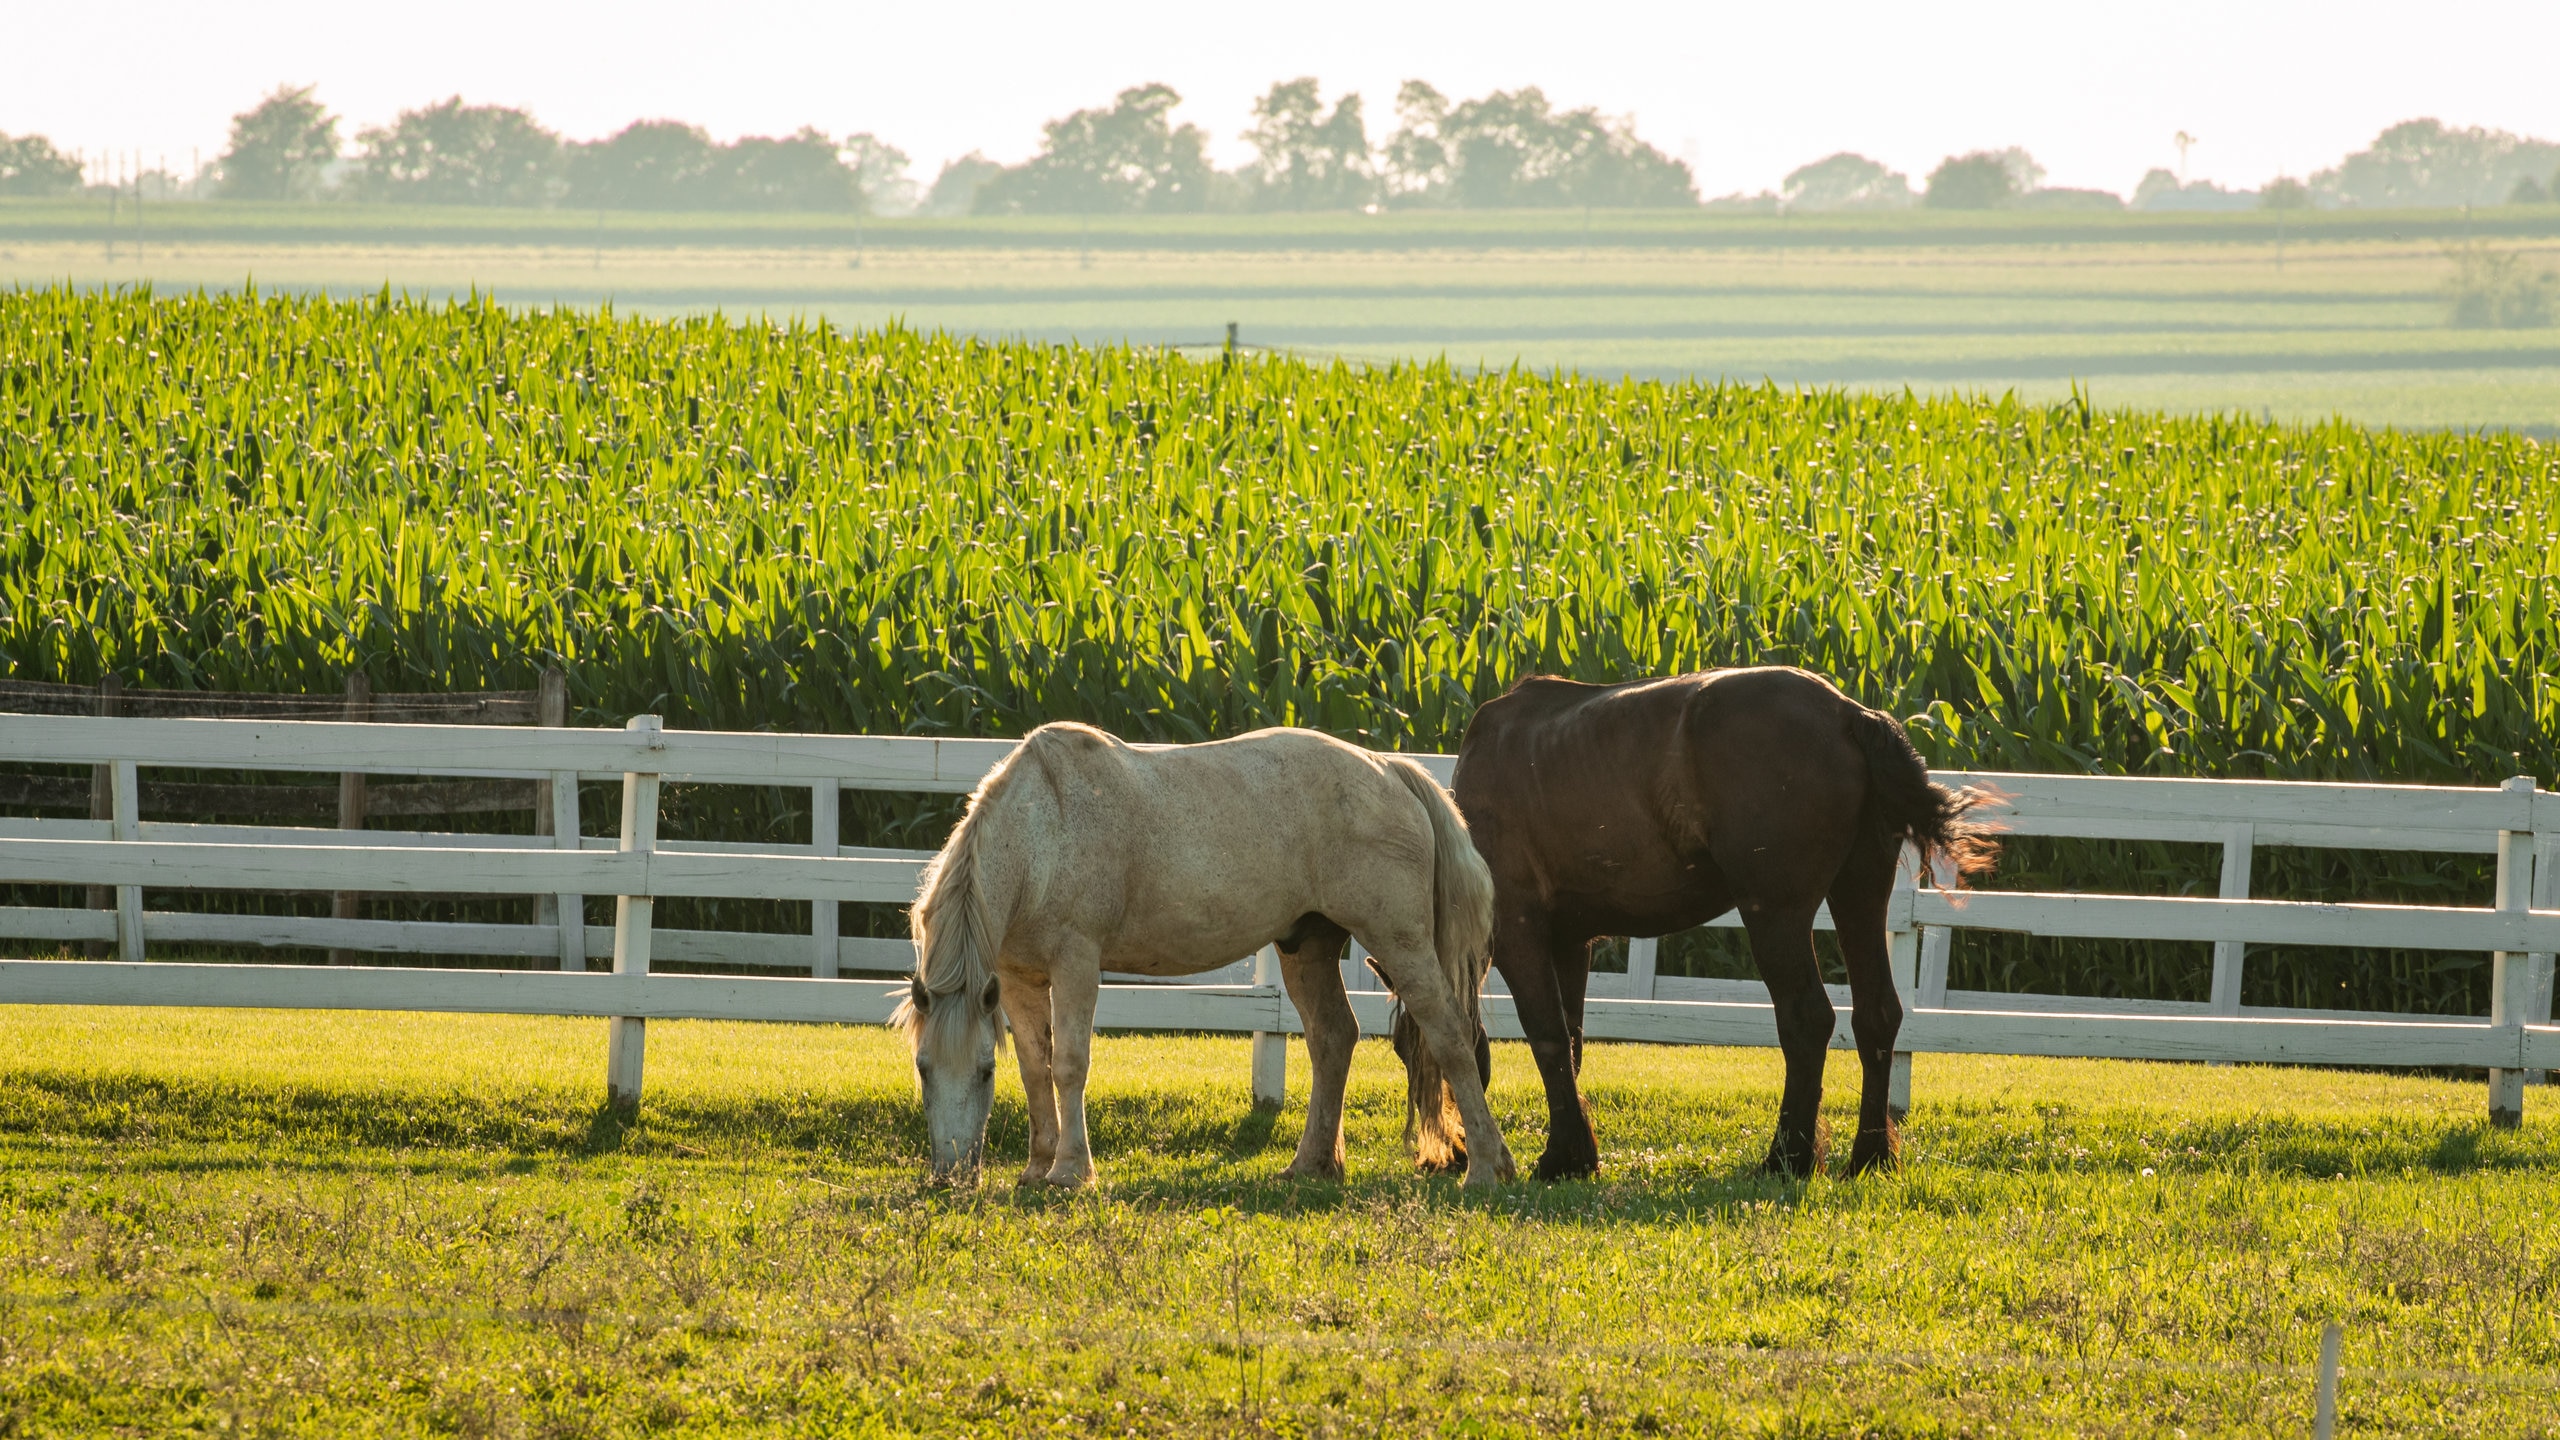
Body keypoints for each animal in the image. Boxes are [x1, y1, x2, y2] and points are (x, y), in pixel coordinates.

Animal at [890, 722, 1505, 1183]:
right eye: (923, 1068)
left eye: (983, 1072)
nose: (950, 1176)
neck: (1044, 828)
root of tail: (1389, 768)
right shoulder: (1017, 978)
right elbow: (1035, 1069)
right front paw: (1038, 1167)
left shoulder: (1076, 963)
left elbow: (1068, 1064)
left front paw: (1069, 1171)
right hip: (1306, 947)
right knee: (1334, 1038)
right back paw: (1310, 1165)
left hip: (1401, 942)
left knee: (1450, 1035)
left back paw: (1487, 1167)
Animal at [1443, 666, 1996, 1173]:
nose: (1448, 1156)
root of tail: (1848, 714)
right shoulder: (1570, 942)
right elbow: (1572, 1042)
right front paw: (1575, 1152)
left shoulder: (1518, 933)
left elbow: (1548, 1037)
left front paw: (1560, 1158)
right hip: (1859, 894)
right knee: (1877, 1014)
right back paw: (1870, 1155)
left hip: (1775, 915)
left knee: (1807, 1019)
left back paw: (1787, 1156)